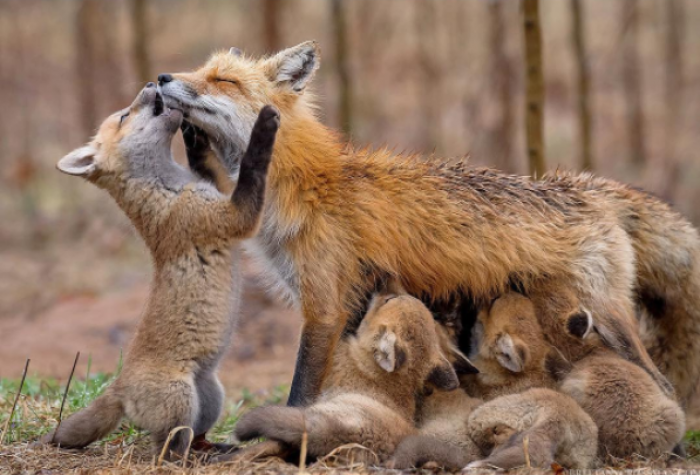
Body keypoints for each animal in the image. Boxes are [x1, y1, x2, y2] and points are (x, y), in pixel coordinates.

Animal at [157, 41, 700, 408]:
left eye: (224, 81)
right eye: (201, 71)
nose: (161, 77)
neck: (307, 184)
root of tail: (589, 186)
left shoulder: (325, 306)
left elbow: (301, 389)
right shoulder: (352, 306)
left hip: (608, 318)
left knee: (663, 383)